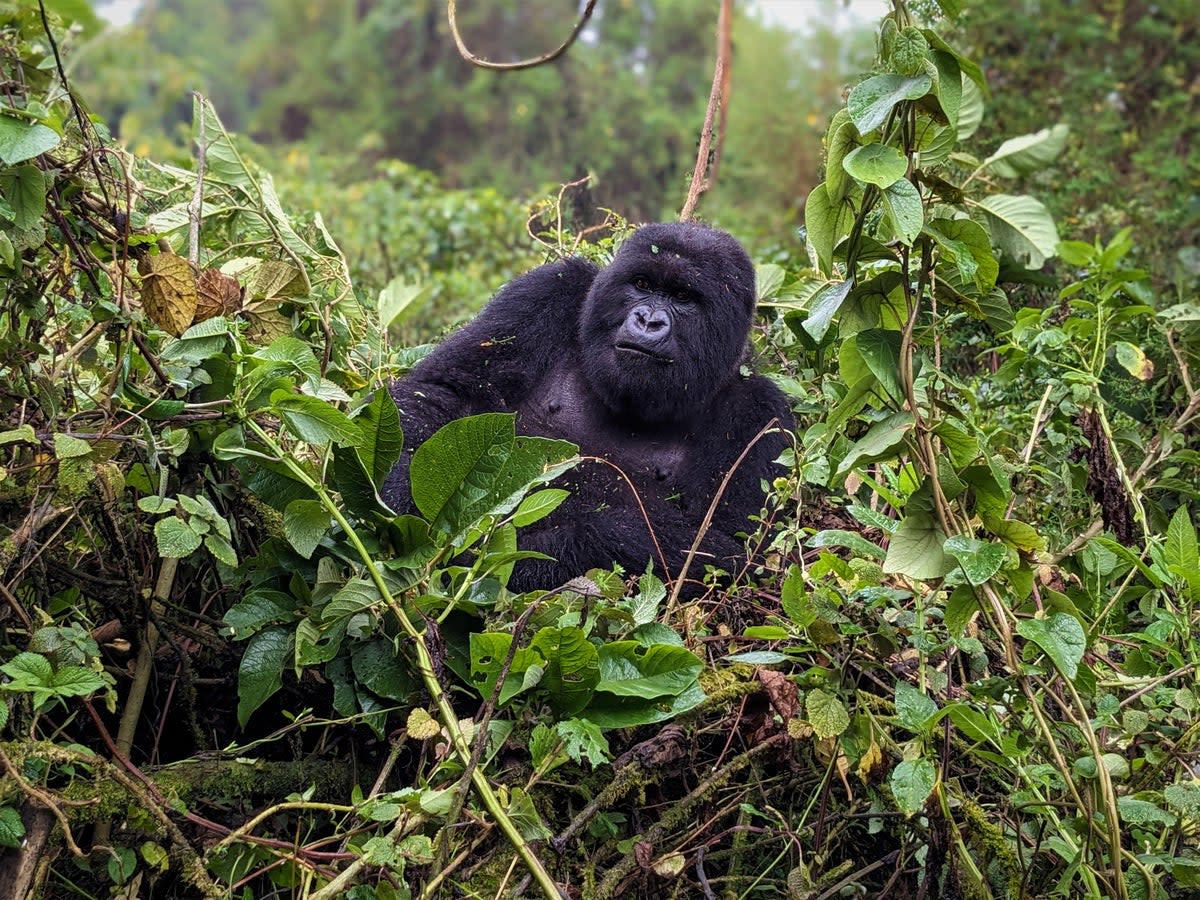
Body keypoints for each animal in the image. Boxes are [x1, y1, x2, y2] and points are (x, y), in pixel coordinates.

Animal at [381, 222, 796, 595]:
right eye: (642, 285)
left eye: (683, 297)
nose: (648, 320)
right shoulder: (554, 287)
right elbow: (447, 393)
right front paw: (403, 487)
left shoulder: (759, 413)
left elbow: (730, 555)